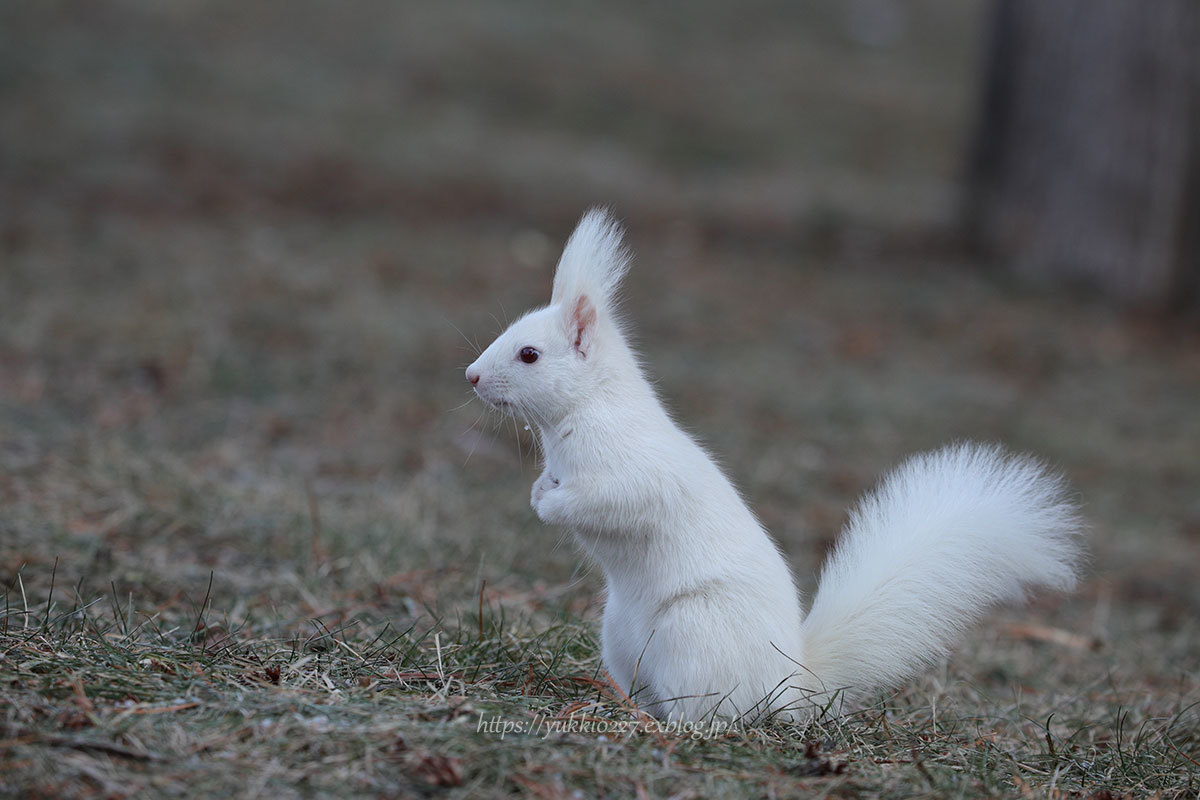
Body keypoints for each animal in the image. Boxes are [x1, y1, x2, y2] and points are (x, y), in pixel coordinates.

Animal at [463, 209, 1084, 724]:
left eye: (529, 354)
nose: (470, 376)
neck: (583, 414)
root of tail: (788, 687)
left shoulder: (636, 472)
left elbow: (608, 501)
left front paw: (551, 504)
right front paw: (539, 489)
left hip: (693, 635)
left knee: (711, 713)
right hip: (619, 638)